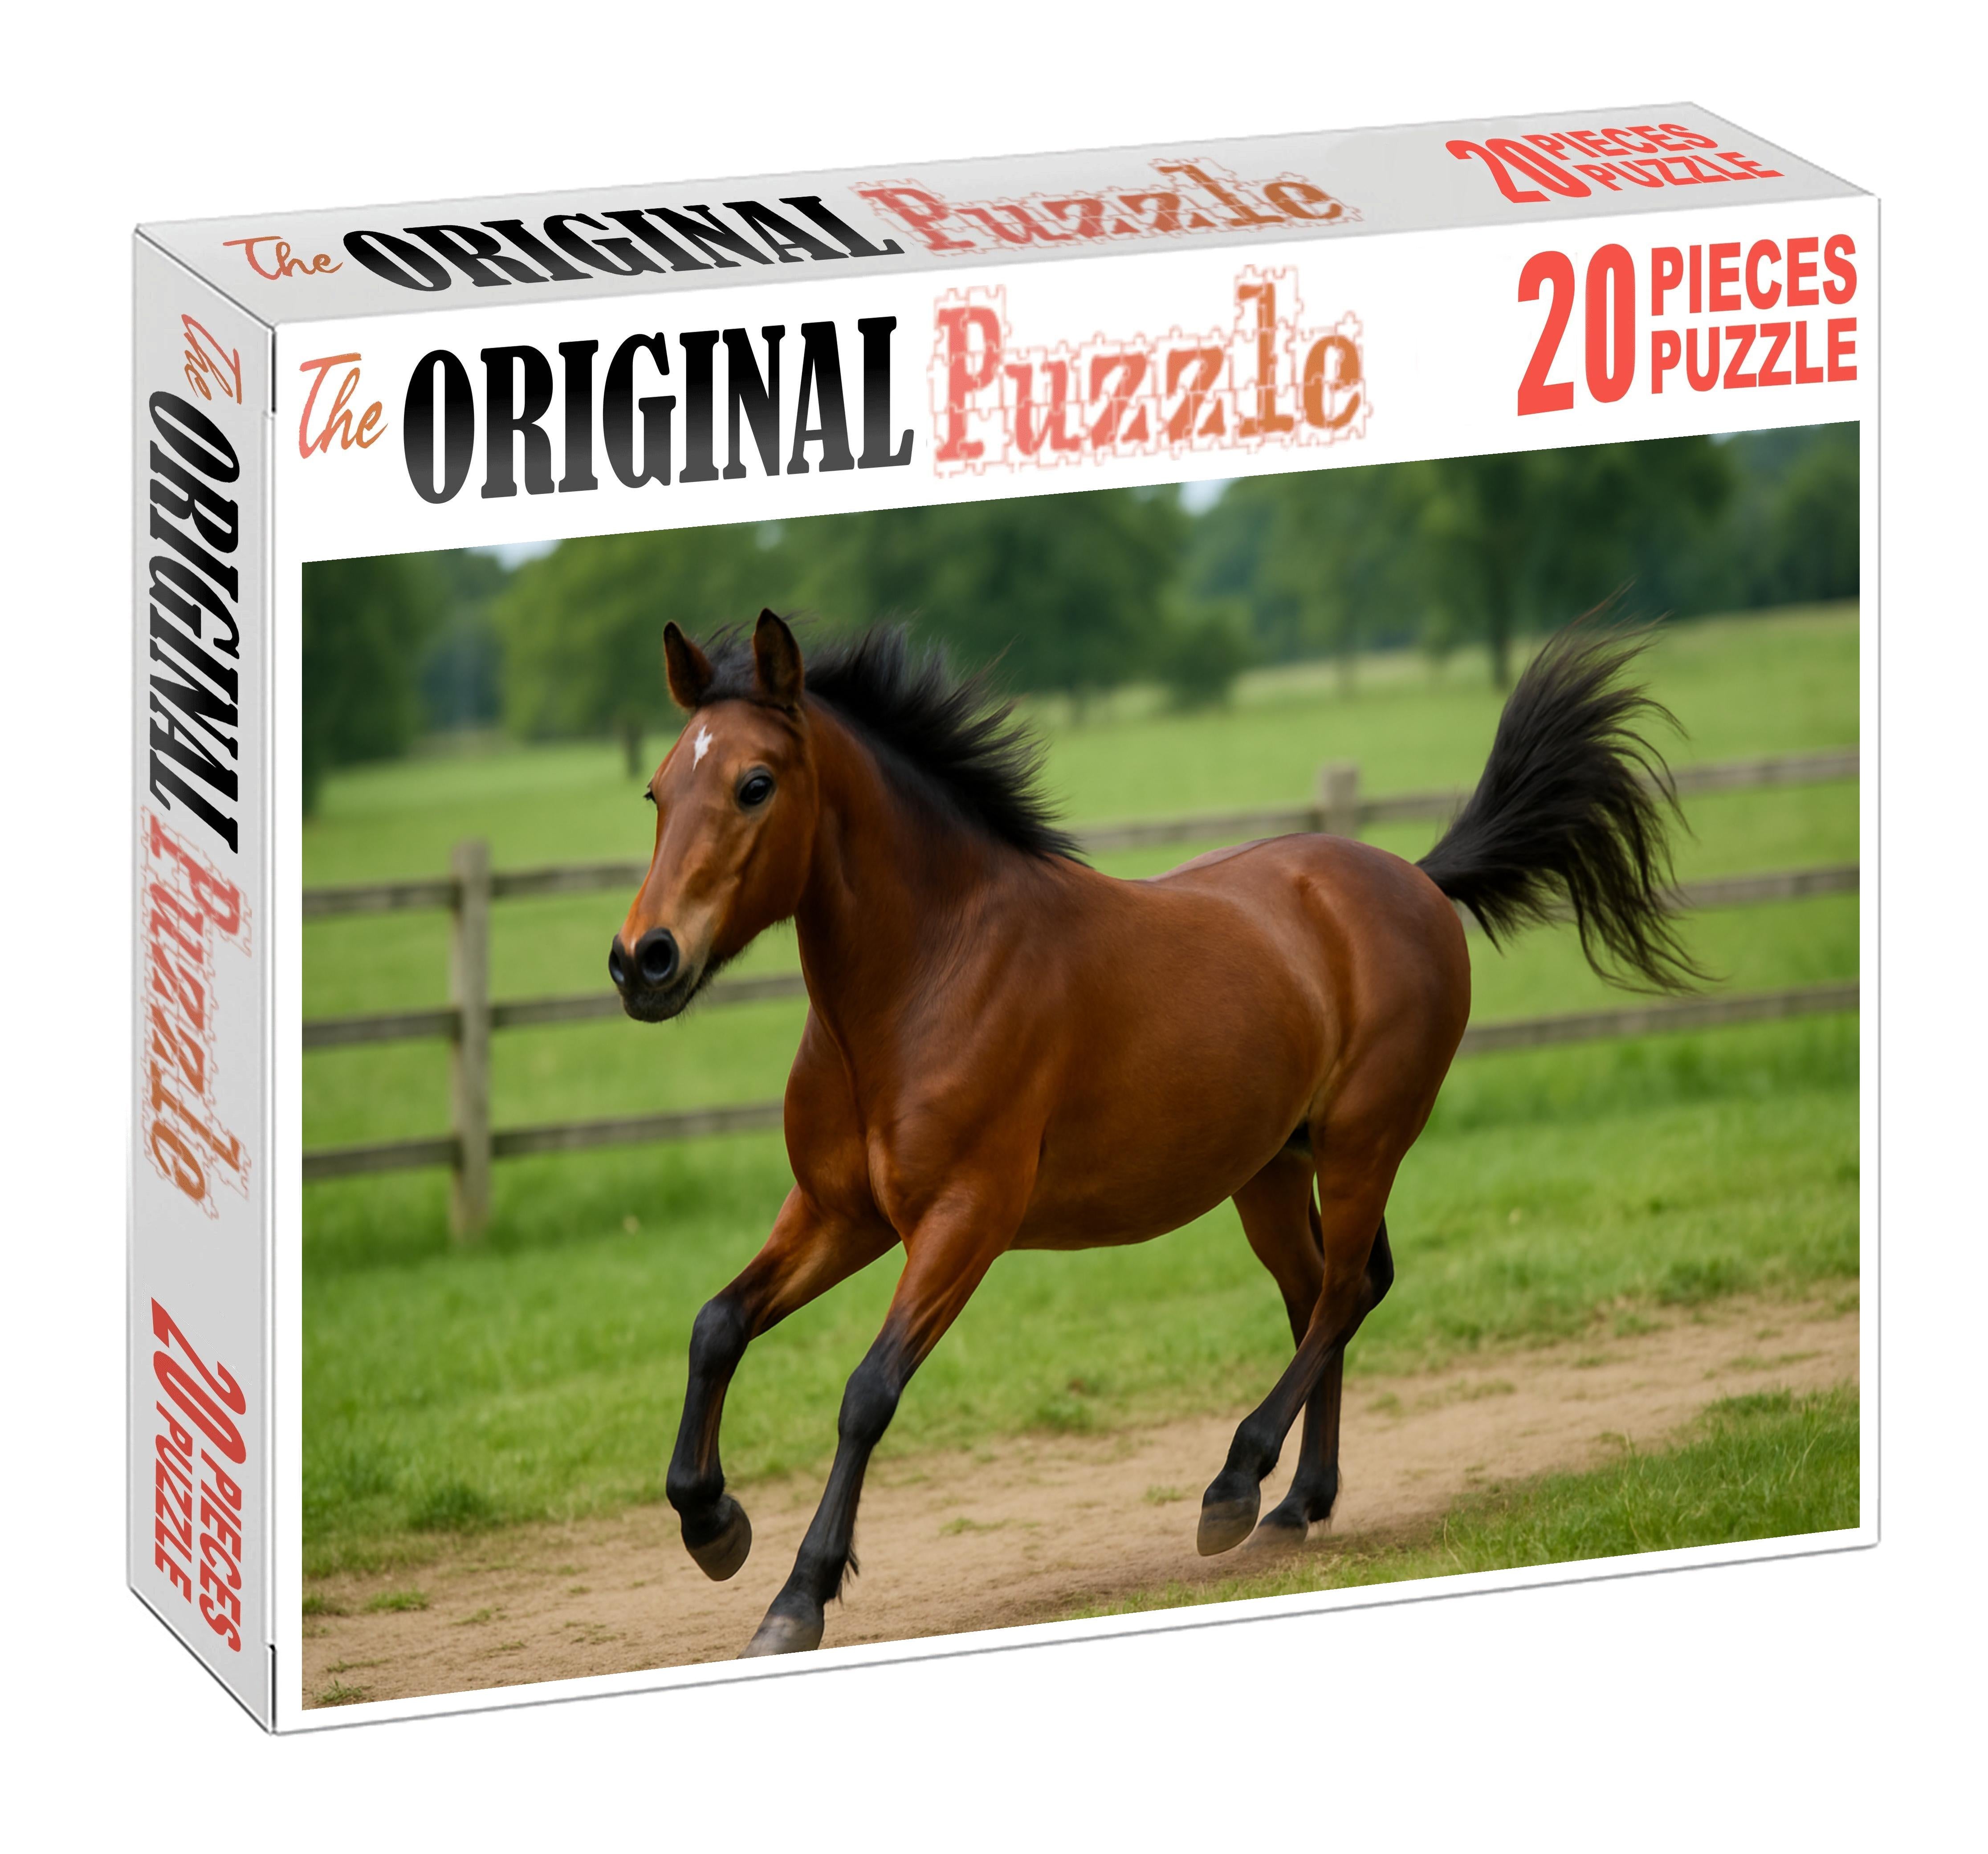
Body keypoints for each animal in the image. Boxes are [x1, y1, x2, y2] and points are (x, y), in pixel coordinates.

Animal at [609, 609, 1699, 1656]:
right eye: (658, 790)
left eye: (754, 784)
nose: (642, 961)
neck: (924, 979)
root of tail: (1417, 879)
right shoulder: (841, 1214)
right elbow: (716, 1324)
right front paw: (713, 1524)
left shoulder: (964, 1222)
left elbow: (867, 1392)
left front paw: (796, 1597)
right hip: (1270, 1170)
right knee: (1319, 1295)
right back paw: (1296, 1505)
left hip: (1363, 1144)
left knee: (1346, 1291)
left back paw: (1236, 1486)